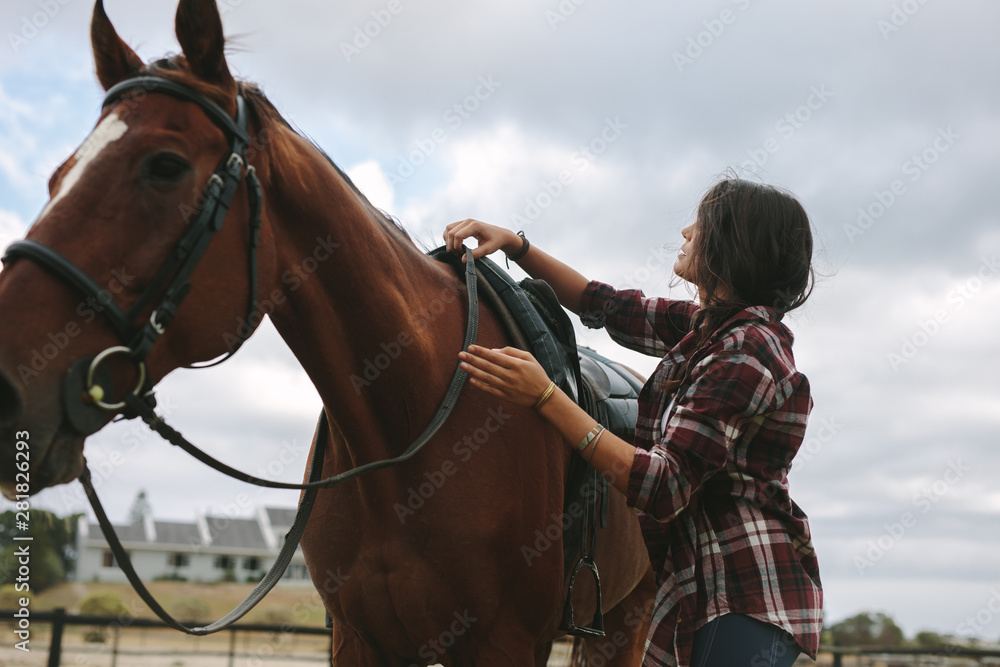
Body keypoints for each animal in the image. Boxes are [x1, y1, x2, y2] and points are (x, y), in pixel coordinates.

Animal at [0, 2, 656, 664]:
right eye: (57, 177)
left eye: (166, 166)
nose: (9, 390)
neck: (408, 434)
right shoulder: (358, 636)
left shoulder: (507, 642)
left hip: (630, 618)